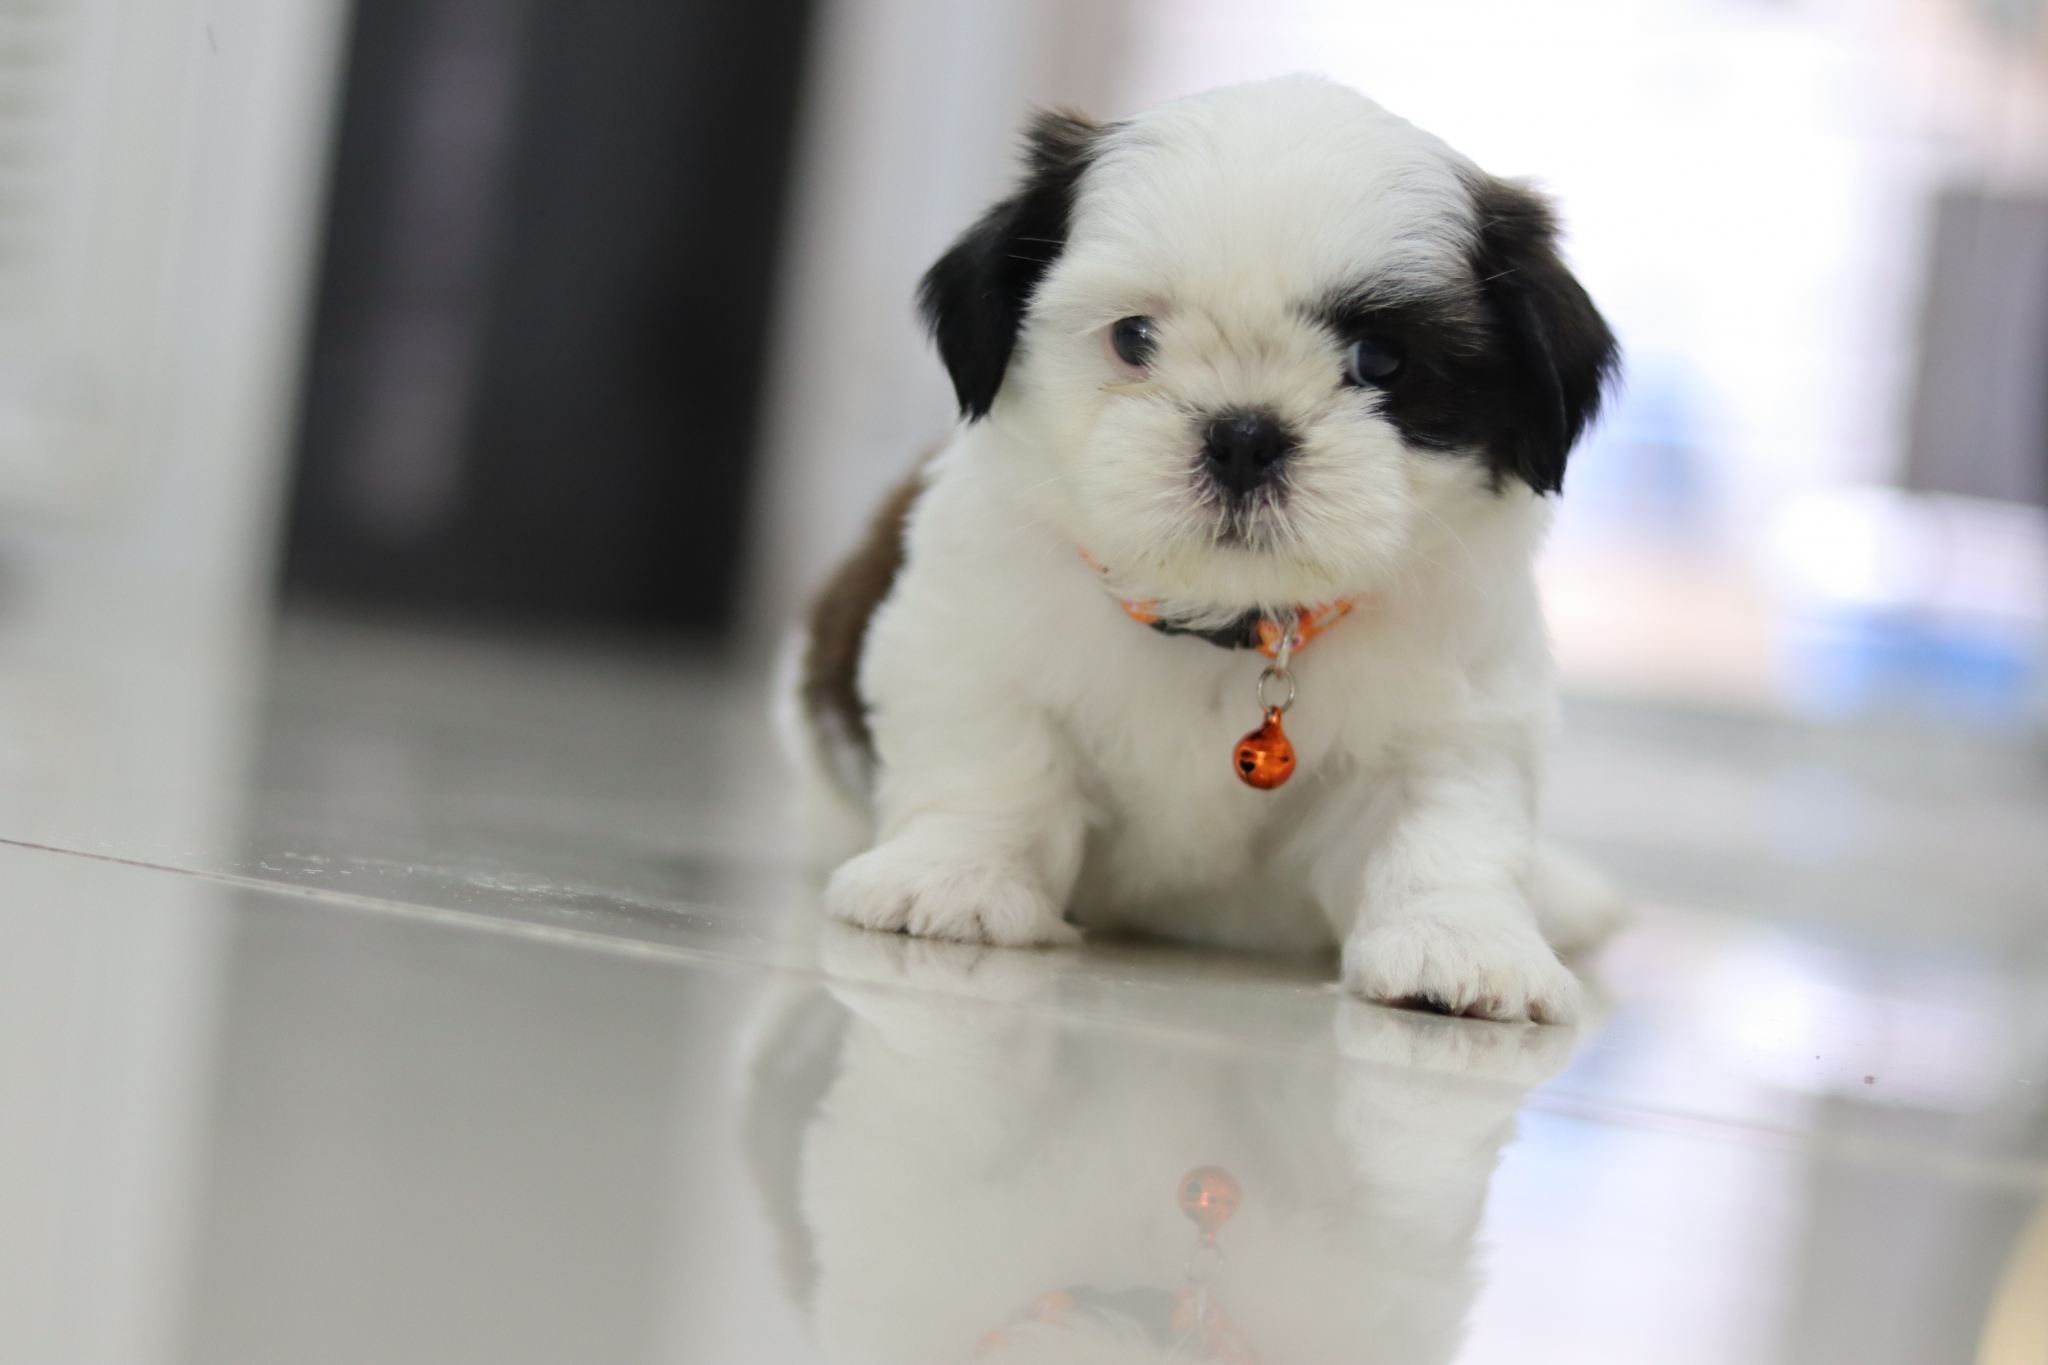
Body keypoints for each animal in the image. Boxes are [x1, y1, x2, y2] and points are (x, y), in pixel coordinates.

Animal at [787, 75, 1624, 1024]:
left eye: (1381, 359)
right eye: (1134, 338)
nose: (1244, 436)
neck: (1230, 619)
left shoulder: (1456, 710)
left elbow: (1443, 822)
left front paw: (1460, 942)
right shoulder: (967, 631)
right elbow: (992, 756)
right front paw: (955, 878)